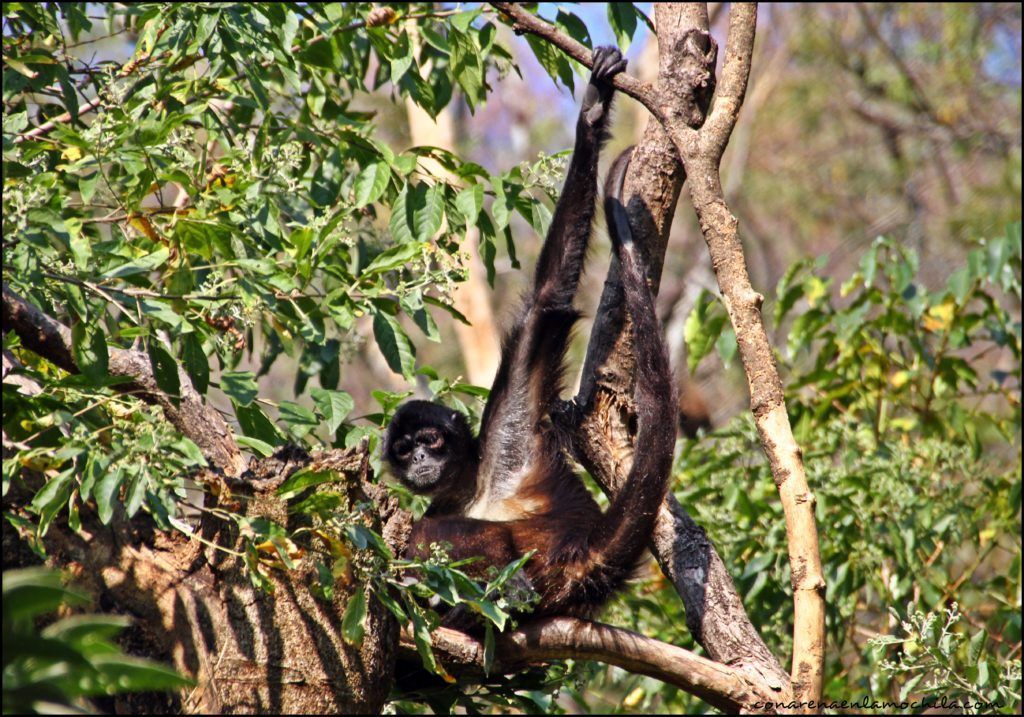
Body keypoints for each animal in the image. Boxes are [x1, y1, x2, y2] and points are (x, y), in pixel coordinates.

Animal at [382, 46, 671, 614]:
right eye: (404, 450)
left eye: (430, 439)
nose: (421, 458)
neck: (469, 489)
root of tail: (583, 554)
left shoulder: (507, 439)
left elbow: (546, 299)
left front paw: (591, 113)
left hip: (537, 548)